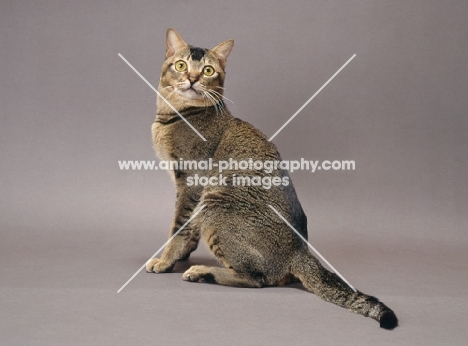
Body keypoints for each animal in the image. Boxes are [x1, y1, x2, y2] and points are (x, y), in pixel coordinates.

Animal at [144, 28, 396, 328]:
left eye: (207, 70)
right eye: (181, 66)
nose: (193, 79)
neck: (174, 114)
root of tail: (300, 251)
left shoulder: (191, 183)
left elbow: (178, 227)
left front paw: (165, 261)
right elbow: (188, 230)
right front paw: (179, 256)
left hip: (216, 205)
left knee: (257, 280)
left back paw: (202, 272)